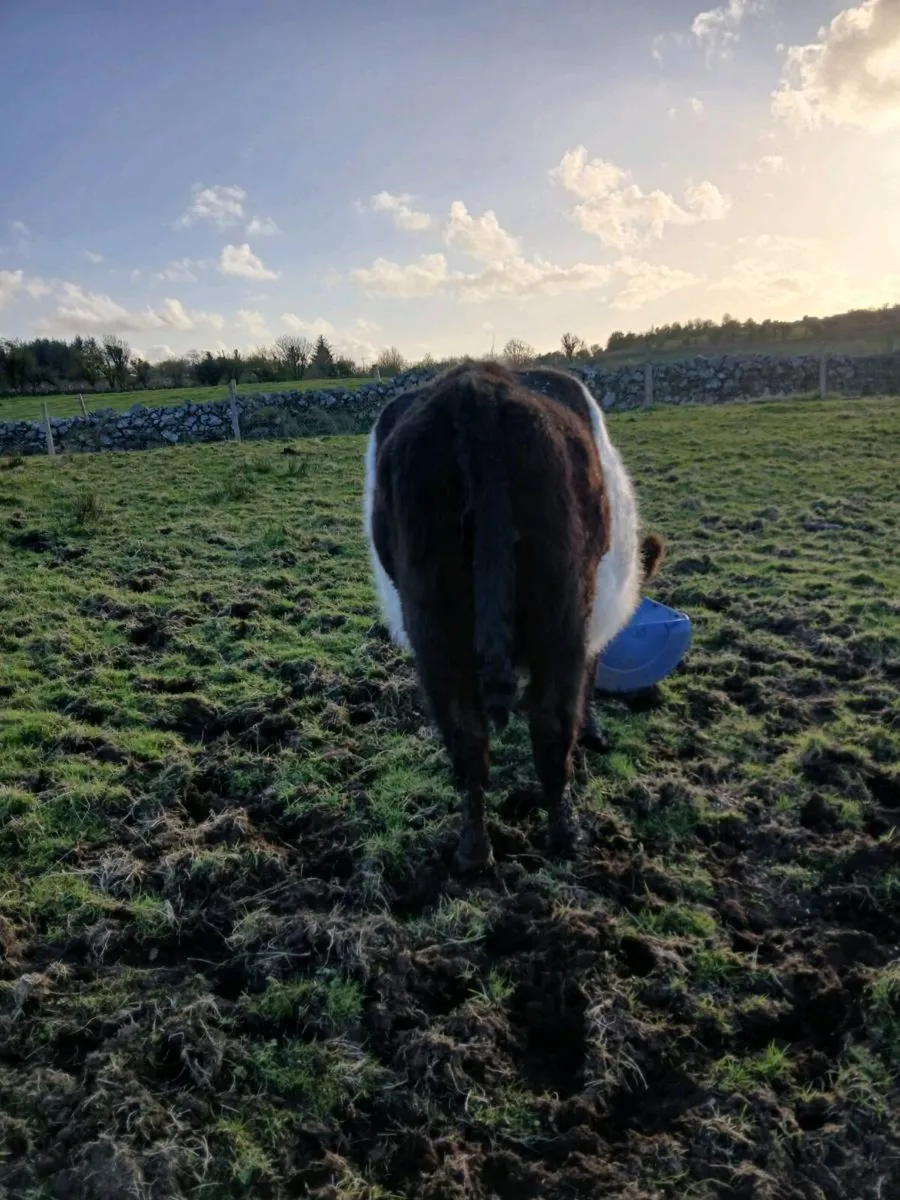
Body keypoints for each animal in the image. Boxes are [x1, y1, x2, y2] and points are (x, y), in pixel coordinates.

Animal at [363, 360, 665, 872]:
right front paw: (594, 731)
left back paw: (474, 851)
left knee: (466, 738)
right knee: (550, 724)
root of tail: (476, 388)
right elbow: (589, 678)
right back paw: (567, 835)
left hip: (434, 627)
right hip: (560, 618)